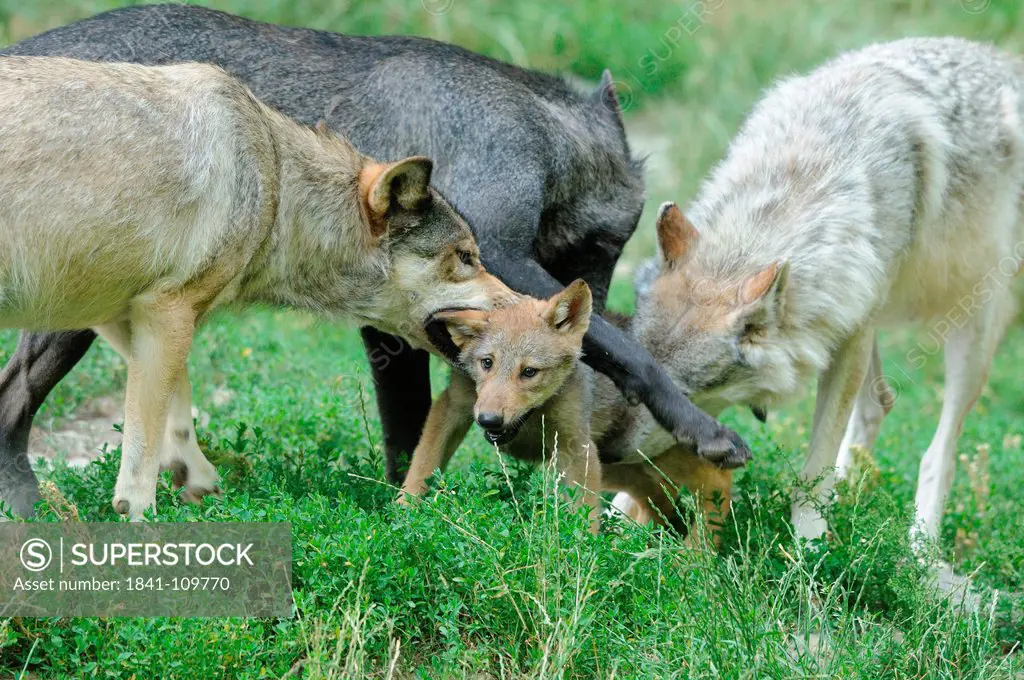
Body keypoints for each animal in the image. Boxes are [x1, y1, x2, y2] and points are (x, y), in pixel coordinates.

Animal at [0, 55, 509, 518]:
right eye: (466, 257)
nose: (518, 303)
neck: (275, 180)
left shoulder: (122, 313)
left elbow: (177, 398)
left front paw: (193, 473)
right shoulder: (167, 311)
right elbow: (143, 453)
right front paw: (142, 520)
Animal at [622, 37, 1024, 553]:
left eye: (679, 396)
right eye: (633, 378)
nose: (608, 445)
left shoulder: (850, 335)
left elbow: (814, 467)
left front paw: (809, 548)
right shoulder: (847, 318)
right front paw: (620, 516)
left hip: (971, 336)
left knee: (940, 451)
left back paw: (920, 549)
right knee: (880, 403)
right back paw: (854, 496)